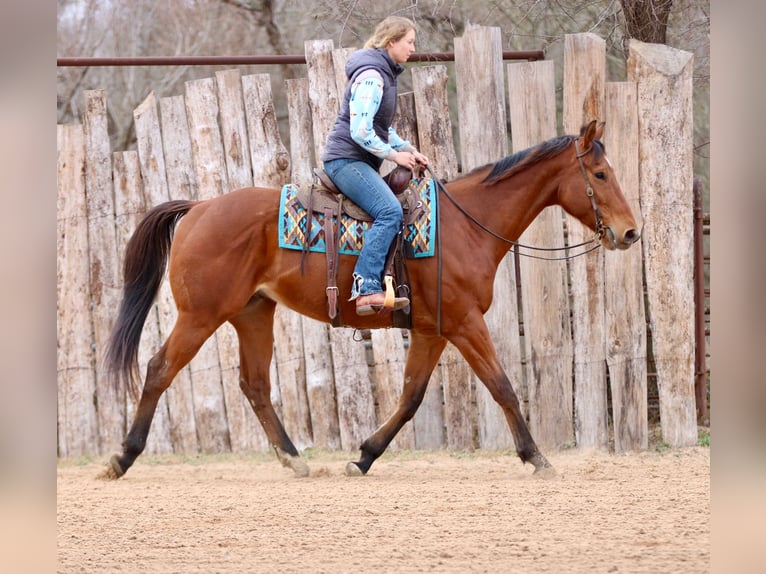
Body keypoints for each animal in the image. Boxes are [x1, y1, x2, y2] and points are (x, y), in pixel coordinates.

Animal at [100, 120, 640, 480]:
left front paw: (363, 456)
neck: (465, 225)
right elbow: (502, 386)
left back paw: (294, 460)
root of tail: (199, 208)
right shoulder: (464, 323)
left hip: (253, 313)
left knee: (254, 385)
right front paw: (537, 457)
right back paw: (122, 458)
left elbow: (410, 397)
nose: (630, 232)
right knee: (159, 369)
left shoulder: (431, 330)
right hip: (200, 315)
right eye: (599, 173)